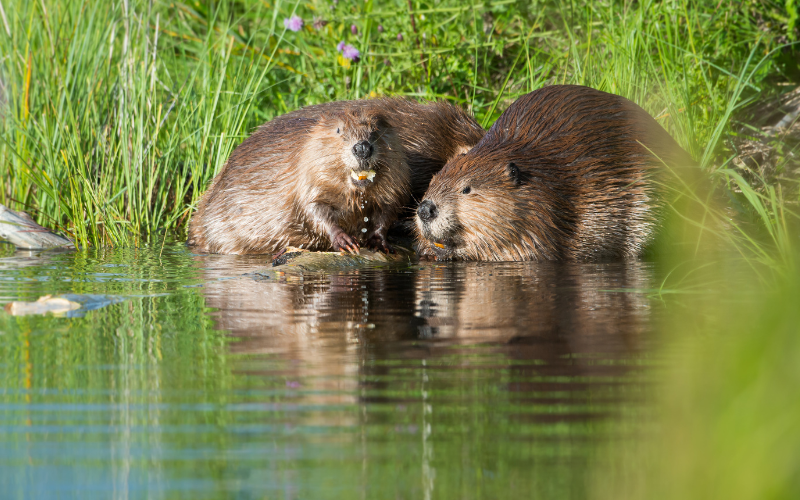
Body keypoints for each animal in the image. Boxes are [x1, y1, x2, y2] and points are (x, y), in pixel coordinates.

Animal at [416, 85, 696, 262]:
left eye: (466, 188)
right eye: (433, 180)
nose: (425, 209)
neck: (542, 178)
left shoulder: (542, 217)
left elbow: (524, 250)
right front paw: (429, 249)